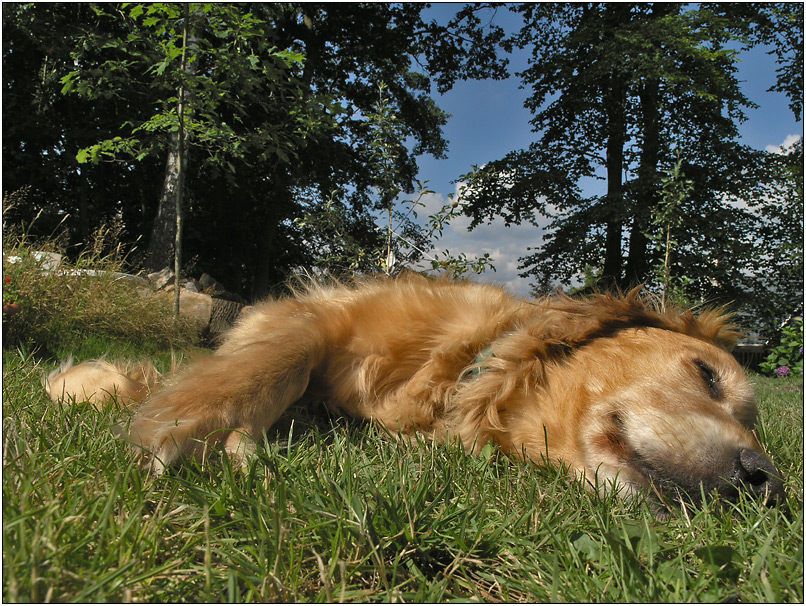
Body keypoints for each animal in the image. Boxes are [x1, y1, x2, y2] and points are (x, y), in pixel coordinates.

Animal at [118, 278, 784, 516]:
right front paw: (188, 425)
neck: (462, 373)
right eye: (707, 374)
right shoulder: (320, 313)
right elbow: (276, 360)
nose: (765, 479)